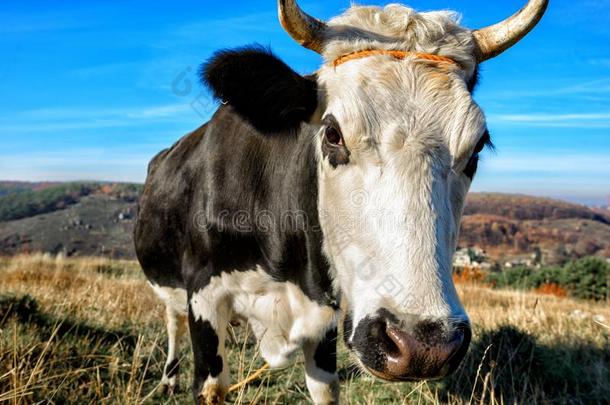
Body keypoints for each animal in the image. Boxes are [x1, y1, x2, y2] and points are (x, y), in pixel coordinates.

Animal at [135, 1, 548, 402]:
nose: (422, 345)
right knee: (171, 318)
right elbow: (209, 385)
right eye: (332, 133)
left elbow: (325, 388)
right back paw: (168, 378)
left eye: (477, 146)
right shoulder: (204, 298)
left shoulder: (325, 316)